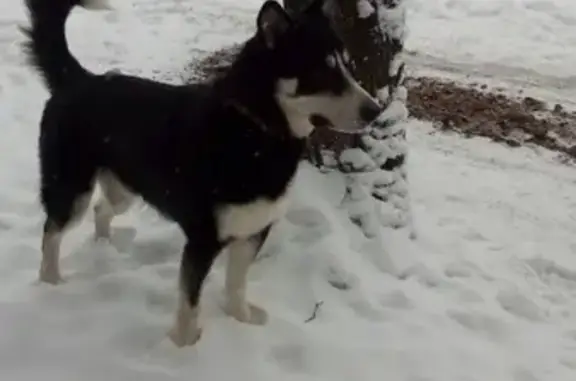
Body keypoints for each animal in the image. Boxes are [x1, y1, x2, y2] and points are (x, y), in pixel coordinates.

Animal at [21, 0, 382, 346]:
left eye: (347, 66)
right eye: (321, 71)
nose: (375, 111)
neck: (256, 130)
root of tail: (79, 79)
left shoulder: (254, 230)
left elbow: (237, 283)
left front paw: (241, 318)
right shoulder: (202, 239)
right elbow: (190, 299)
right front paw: (183, 347)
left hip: (124, 188)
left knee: (102, 208)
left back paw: (103, 245)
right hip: (71, 189)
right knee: (51, 233)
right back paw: (51, 282)